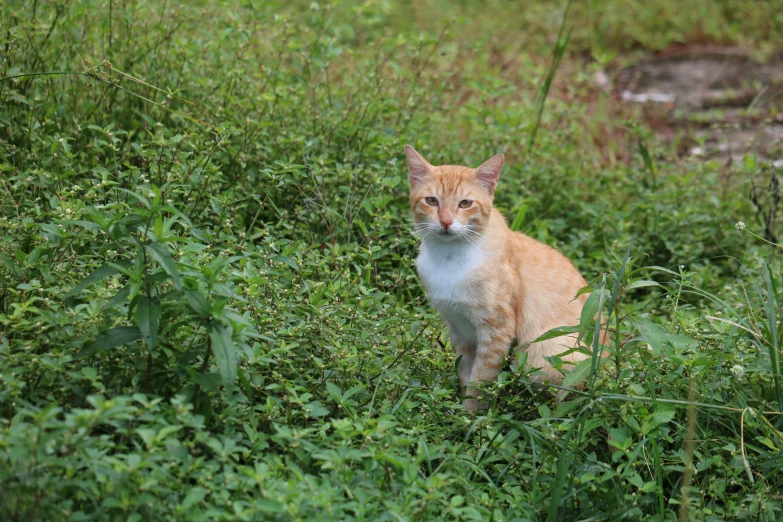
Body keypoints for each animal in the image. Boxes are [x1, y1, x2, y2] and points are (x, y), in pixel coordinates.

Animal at [408, 143, 596, 410]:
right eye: (431, 201)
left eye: (465, 203)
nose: (445, 222)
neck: (450, 258)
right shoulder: (459, 329)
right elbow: (466, 375)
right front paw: (460, 411)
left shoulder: (497, 331)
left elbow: (480, 382)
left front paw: (468, 417)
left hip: (541, 349)